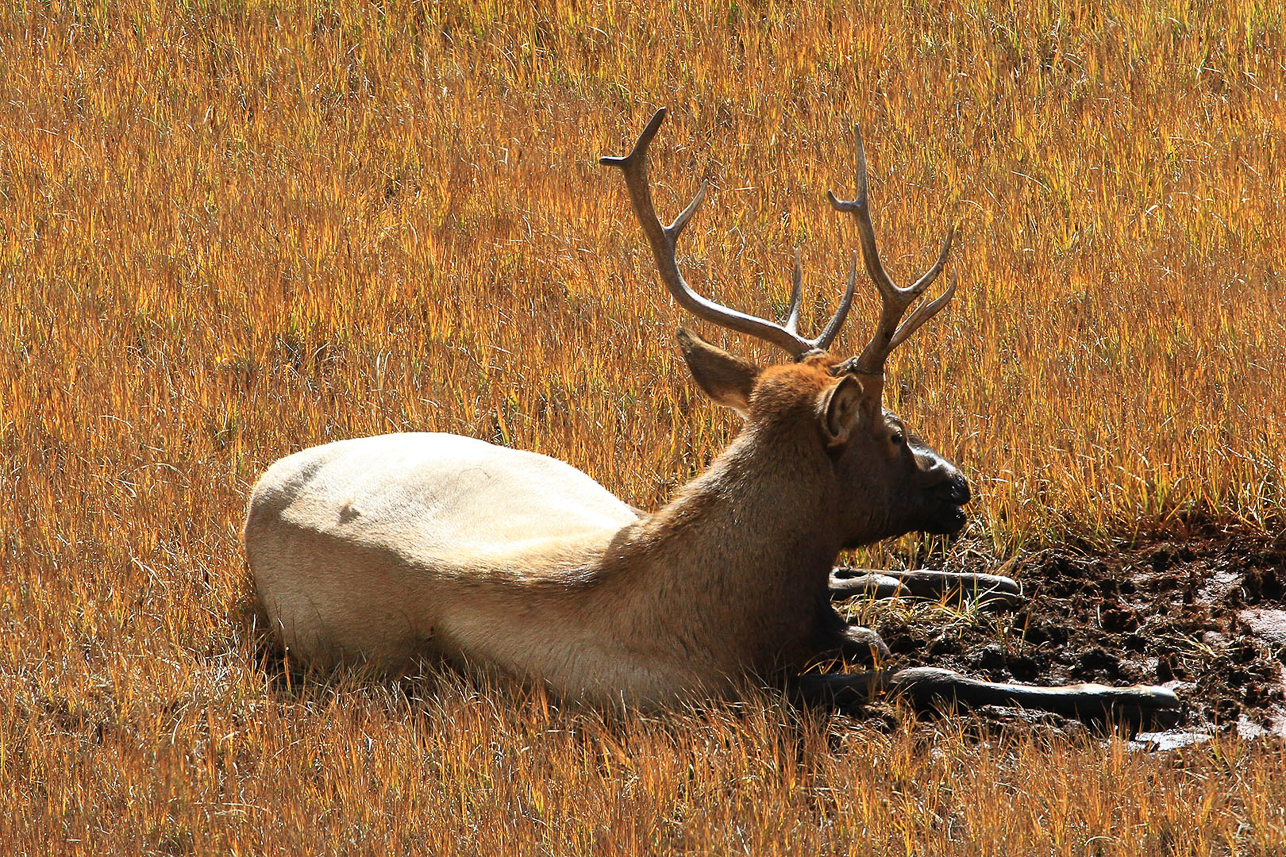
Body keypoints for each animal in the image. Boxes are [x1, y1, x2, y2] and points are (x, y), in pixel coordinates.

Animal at [241, 108, 1177, 720]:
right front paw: (1144, 691)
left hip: (587, 486)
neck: (734, 615)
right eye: (896, 429)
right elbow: (923, 675)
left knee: (861, 575)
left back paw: (998, 580)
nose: (960, 484)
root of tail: (263, 481)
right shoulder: (740, 689)